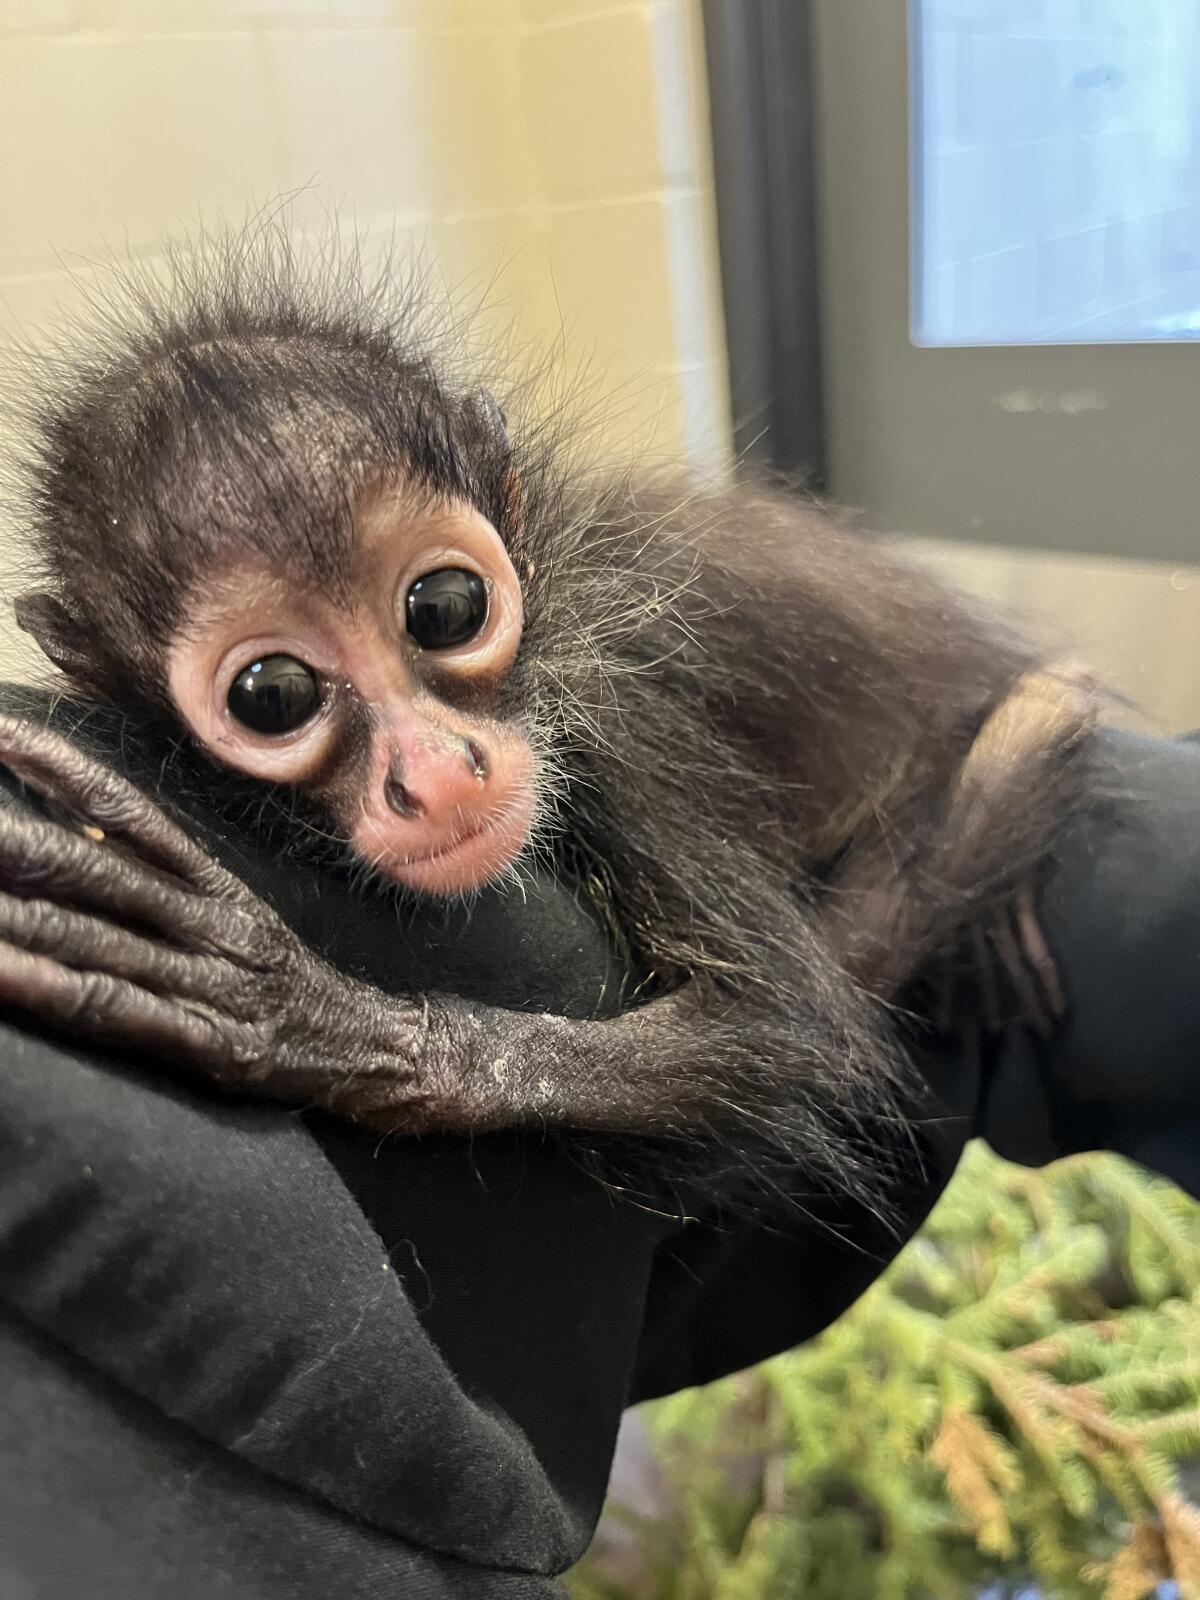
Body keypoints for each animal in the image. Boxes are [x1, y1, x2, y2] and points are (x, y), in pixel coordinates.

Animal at [0, 239, 1096, 1208]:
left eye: (445, 607)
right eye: (271, 695)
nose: (437, 772)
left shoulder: (617, 714)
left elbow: (792, 1026)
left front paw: (315, 1019)